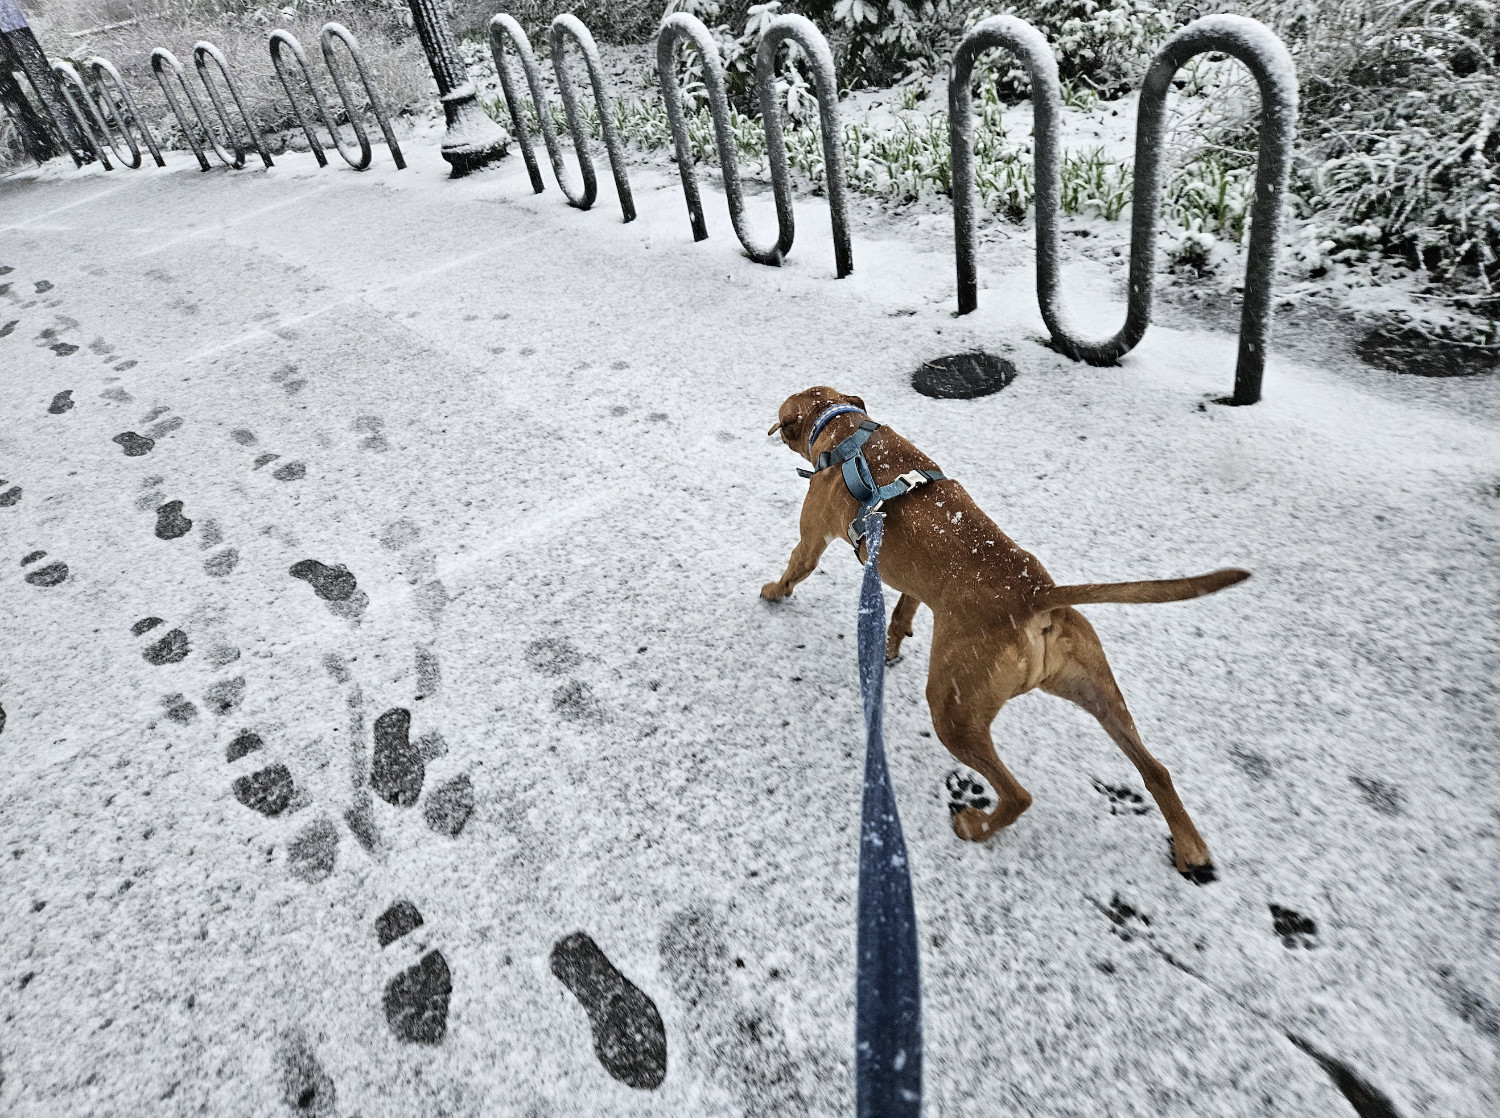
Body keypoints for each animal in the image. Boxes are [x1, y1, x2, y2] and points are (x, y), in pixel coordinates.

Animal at [768, 387, 1248, 882]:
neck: (844, 430)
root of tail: (1034, 596)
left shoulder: (812, 540)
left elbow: (795, 569)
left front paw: (771, 593)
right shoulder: (911, 585)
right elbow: (903, 611)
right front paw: (891, 645)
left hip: (953, 711)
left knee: (1018, 794)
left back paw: (975, 825)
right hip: (1094, 689)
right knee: (1156, 771)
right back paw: (1191, 847)